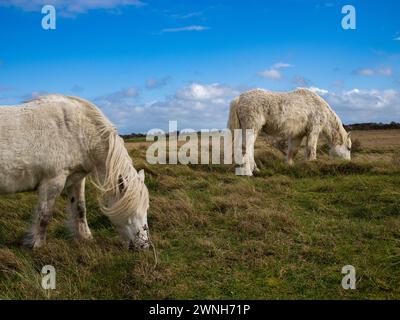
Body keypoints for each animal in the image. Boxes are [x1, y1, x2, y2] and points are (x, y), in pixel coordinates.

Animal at [0, 95, 150, 250]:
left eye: (146, 208)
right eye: (133, 210)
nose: (144, 246)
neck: (77, 132)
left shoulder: (76, 179)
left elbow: (80, 208)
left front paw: (85, 237)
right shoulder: (53, 181)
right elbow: (44, 214)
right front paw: (37, 244)